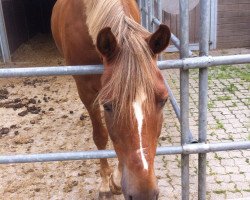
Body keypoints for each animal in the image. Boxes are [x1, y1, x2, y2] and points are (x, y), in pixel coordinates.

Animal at [51, 0, 171, 199]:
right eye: (107, 106)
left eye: (163, 100)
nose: (143, 194)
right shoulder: (86, 92)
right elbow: (101, 136)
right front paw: (105, 185)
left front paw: (117, 177)